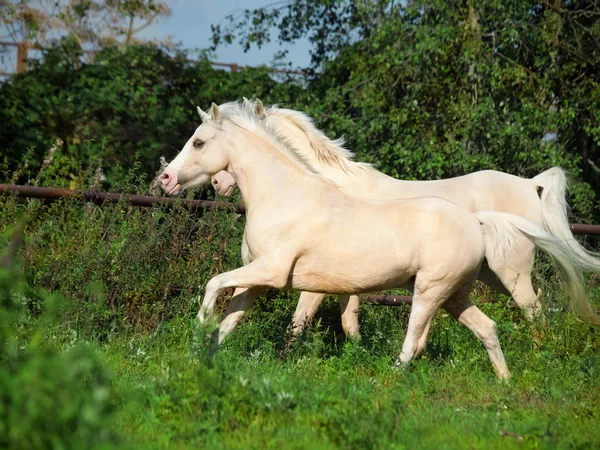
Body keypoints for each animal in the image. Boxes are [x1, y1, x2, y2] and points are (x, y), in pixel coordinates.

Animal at [159, 100, 600, 378]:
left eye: (198, 142)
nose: (165, 179)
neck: (286, 194)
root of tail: (477, 220)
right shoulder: (258, 280)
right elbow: (232, 319)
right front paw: (201, 355)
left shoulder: (274, 273)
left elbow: (224, 289)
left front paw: (201, 329)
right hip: (458, 292)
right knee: (488, 328)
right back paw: (505, 383)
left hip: (441, 288)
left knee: (434, 335)